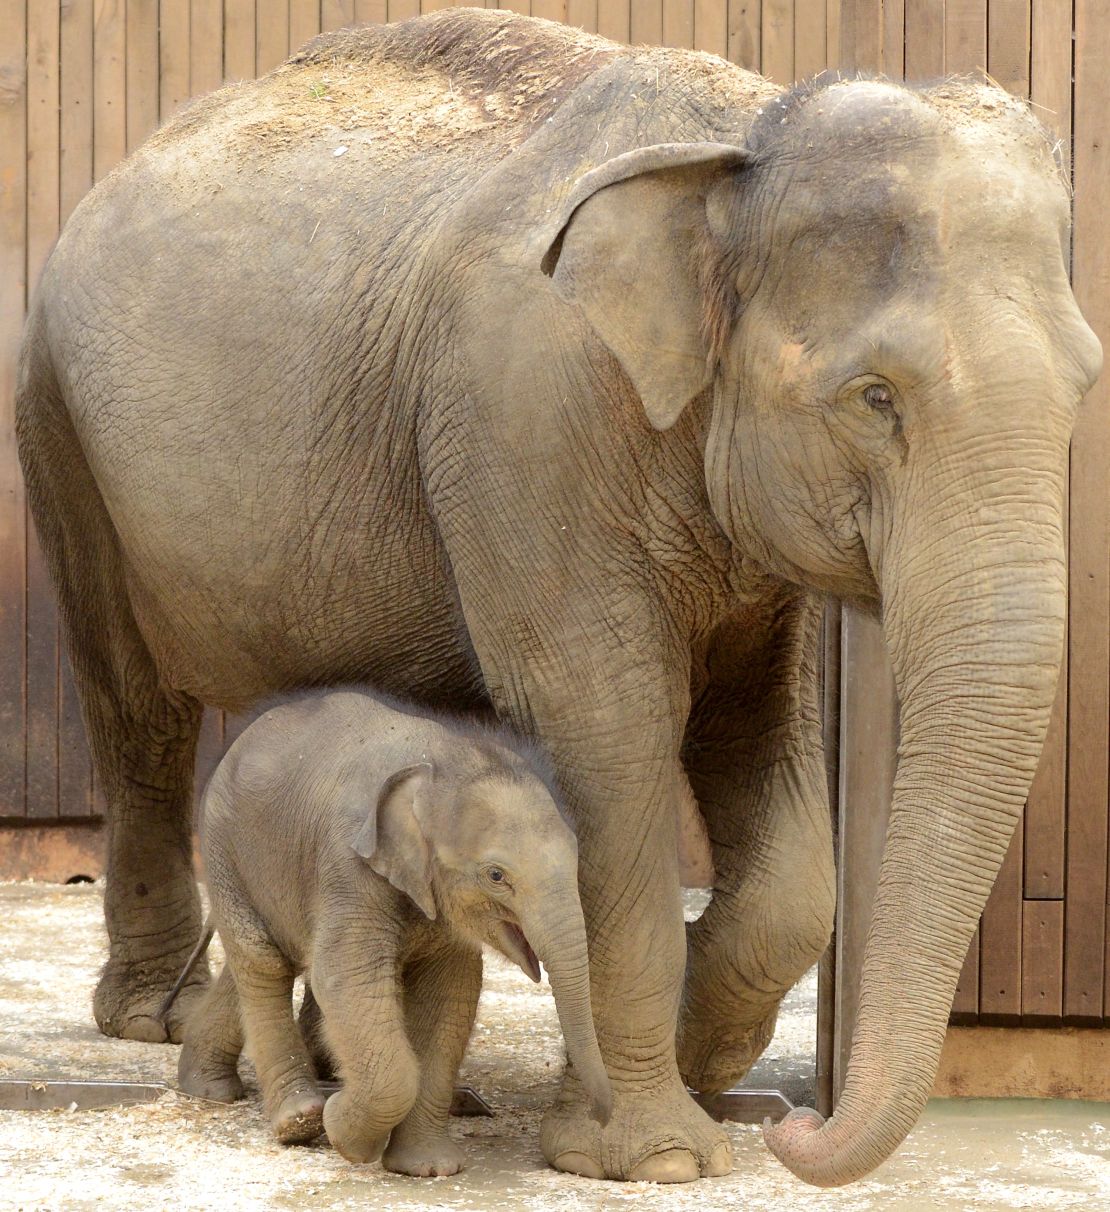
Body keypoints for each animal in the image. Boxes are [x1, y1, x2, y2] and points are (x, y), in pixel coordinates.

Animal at [174, 693, 610, 1173]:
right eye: (496, 875)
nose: (603, 1116)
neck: (441, 760)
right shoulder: (348, 865)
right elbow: (346, 979)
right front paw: (342, 1131)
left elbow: (449, 993)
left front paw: (428, 1168)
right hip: (222, 846)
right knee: (263, 962)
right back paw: (299, 1120)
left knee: (254, 965)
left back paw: (208, 1088)